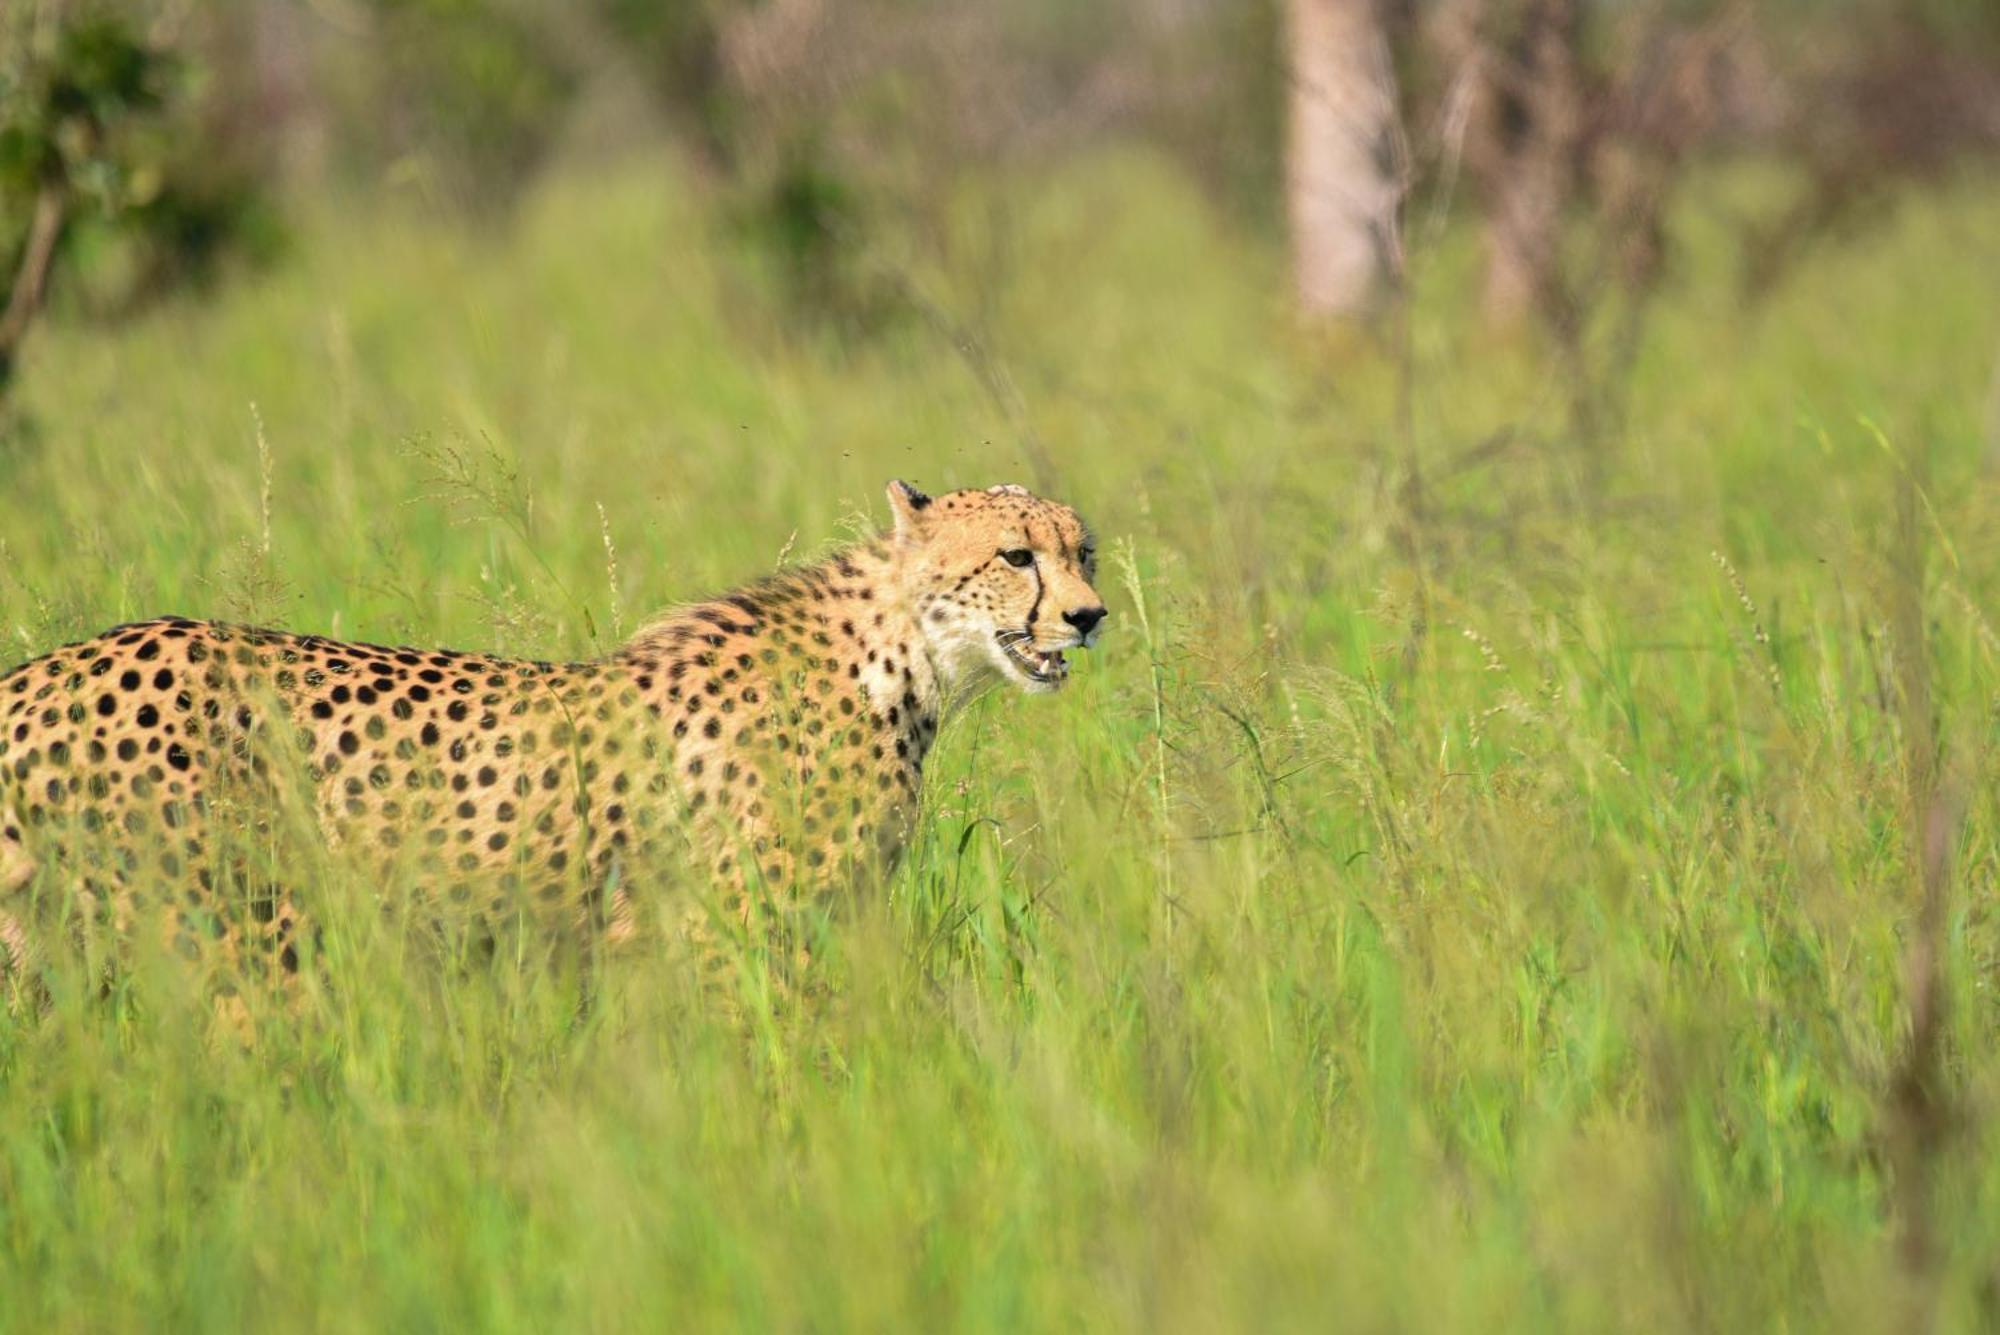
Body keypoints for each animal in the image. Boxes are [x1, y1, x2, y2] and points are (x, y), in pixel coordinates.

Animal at [0, 485, 1104, 987]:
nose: (1090, 616)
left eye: (1083, 552)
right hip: (230, 939)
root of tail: (57, 664)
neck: (903, 660)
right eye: (1015, 555)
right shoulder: (709, 939)